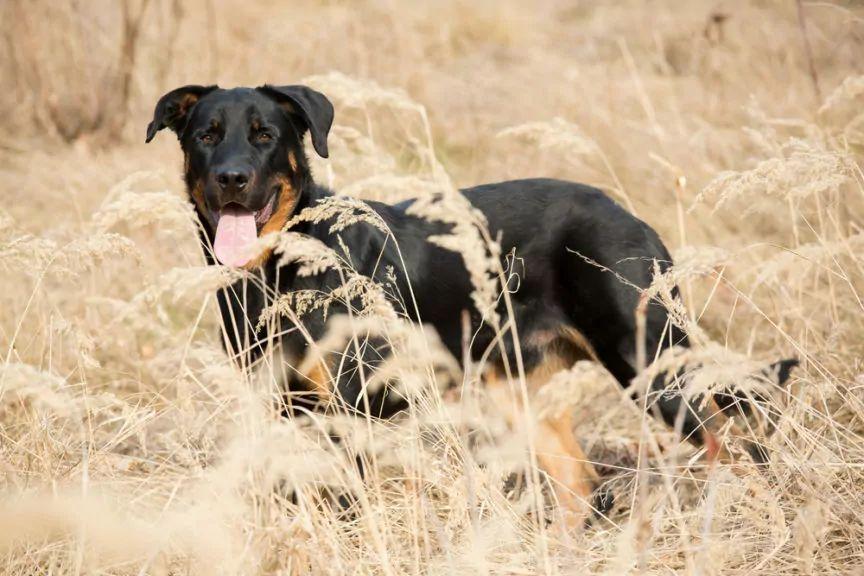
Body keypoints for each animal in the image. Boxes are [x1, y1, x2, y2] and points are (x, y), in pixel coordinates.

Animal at [147, 83, 796, 520]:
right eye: (206, 136)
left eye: (265, 136)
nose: (232, 178)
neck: (279, 272)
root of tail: (629, 217)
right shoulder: (273, 411)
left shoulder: (354, 412)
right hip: (522, 388)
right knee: (580, 484)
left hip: (653, 366)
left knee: (736, 448)